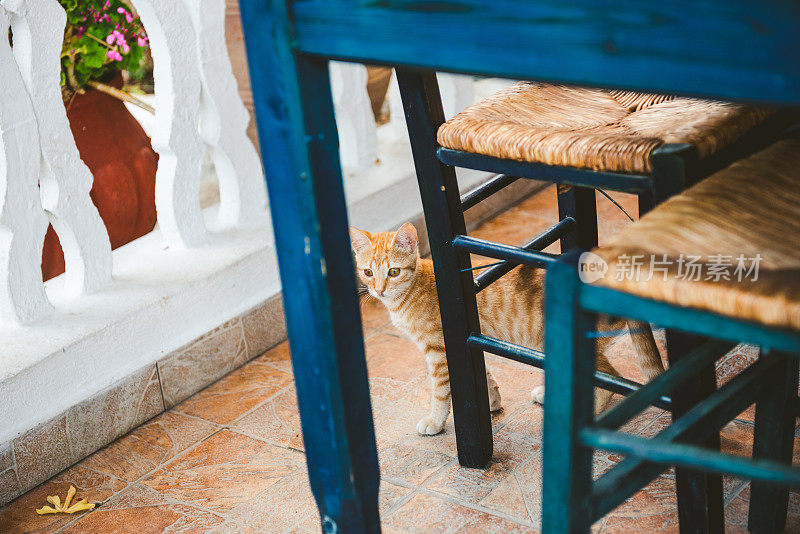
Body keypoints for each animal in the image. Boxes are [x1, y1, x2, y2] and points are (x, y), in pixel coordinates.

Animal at [352, 224, 664, 438]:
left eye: (393, 272)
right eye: (368, 273)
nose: (378, 290)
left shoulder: (439, 352)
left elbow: (440, 393)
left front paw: (435, 421)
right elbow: (485, 373)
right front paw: (491, 401)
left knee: (609, 378)